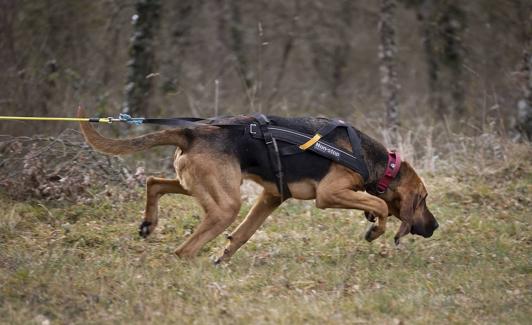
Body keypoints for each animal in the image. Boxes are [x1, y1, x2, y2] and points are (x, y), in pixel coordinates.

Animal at [78, 107, 436, 262]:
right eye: (423, 199)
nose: (435, 226)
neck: (378, 162)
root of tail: (193, 131)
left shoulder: (271, 197)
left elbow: (242, 235)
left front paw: (224, 257)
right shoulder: (329, 193)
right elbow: (377, 204)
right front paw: (375, 229)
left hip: (201, 185)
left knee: (154, 182)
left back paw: (149, 224)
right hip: (224, 204)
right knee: (184, 250)